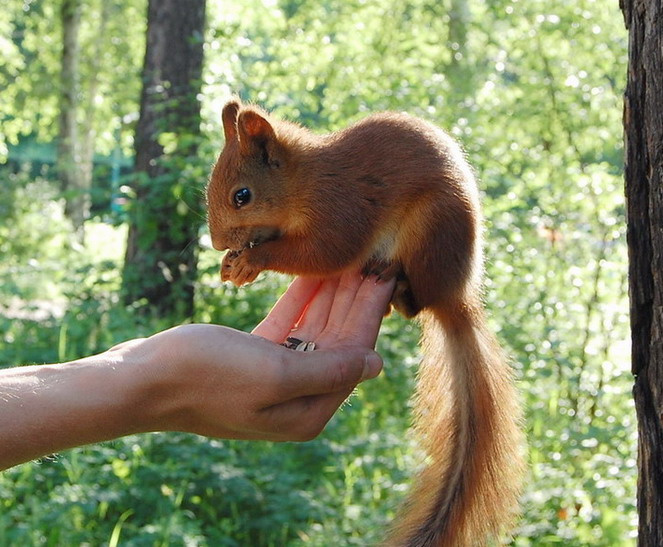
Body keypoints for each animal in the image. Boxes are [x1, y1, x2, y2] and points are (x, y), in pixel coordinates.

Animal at [206, 100, 525, 547]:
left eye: (242, 196)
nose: (217, 242)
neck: (305, 182)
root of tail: (455, 297)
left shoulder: (342, 211)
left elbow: (326, 254)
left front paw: (252, 259)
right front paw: (231, 262)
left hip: (429, 230)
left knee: (417, 302)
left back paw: (398, 283)